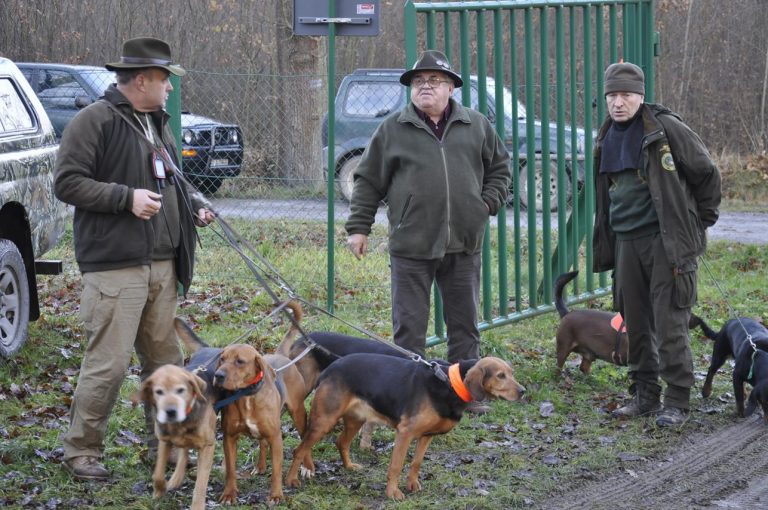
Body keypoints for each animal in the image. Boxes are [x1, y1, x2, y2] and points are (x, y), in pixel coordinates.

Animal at [132, 364, 216, 510]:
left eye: (180, 390)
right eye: (159, 392)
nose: (171, 412)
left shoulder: (208, 446)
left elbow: (200, 484)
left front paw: (197, 506)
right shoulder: (164, 440)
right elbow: (158, 474)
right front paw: (159, 491)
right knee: (183, 452)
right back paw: (176, 479)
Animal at [284, 352, 524, 500]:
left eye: (512, 373)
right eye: (500, 375)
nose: (523, 392)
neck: (450, 383)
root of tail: (330, 368)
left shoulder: (426, 436)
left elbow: (416, 463)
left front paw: (412, 485)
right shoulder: (405, 433)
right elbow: (396, 466)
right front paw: (392, 493)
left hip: (355, 419)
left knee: (340, 441)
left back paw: (349, 466)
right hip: (324, 421)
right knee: (299, 449)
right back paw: (291, 480)